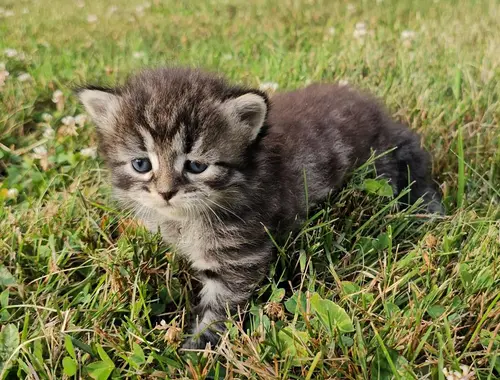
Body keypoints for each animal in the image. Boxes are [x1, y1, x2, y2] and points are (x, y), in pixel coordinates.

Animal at [78, 67, 442, 348]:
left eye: (196, 166)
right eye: (141, 164)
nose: (166, 192)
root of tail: (386, 118)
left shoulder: (239, 257)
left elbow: (218, 312)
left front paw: (194, 353)